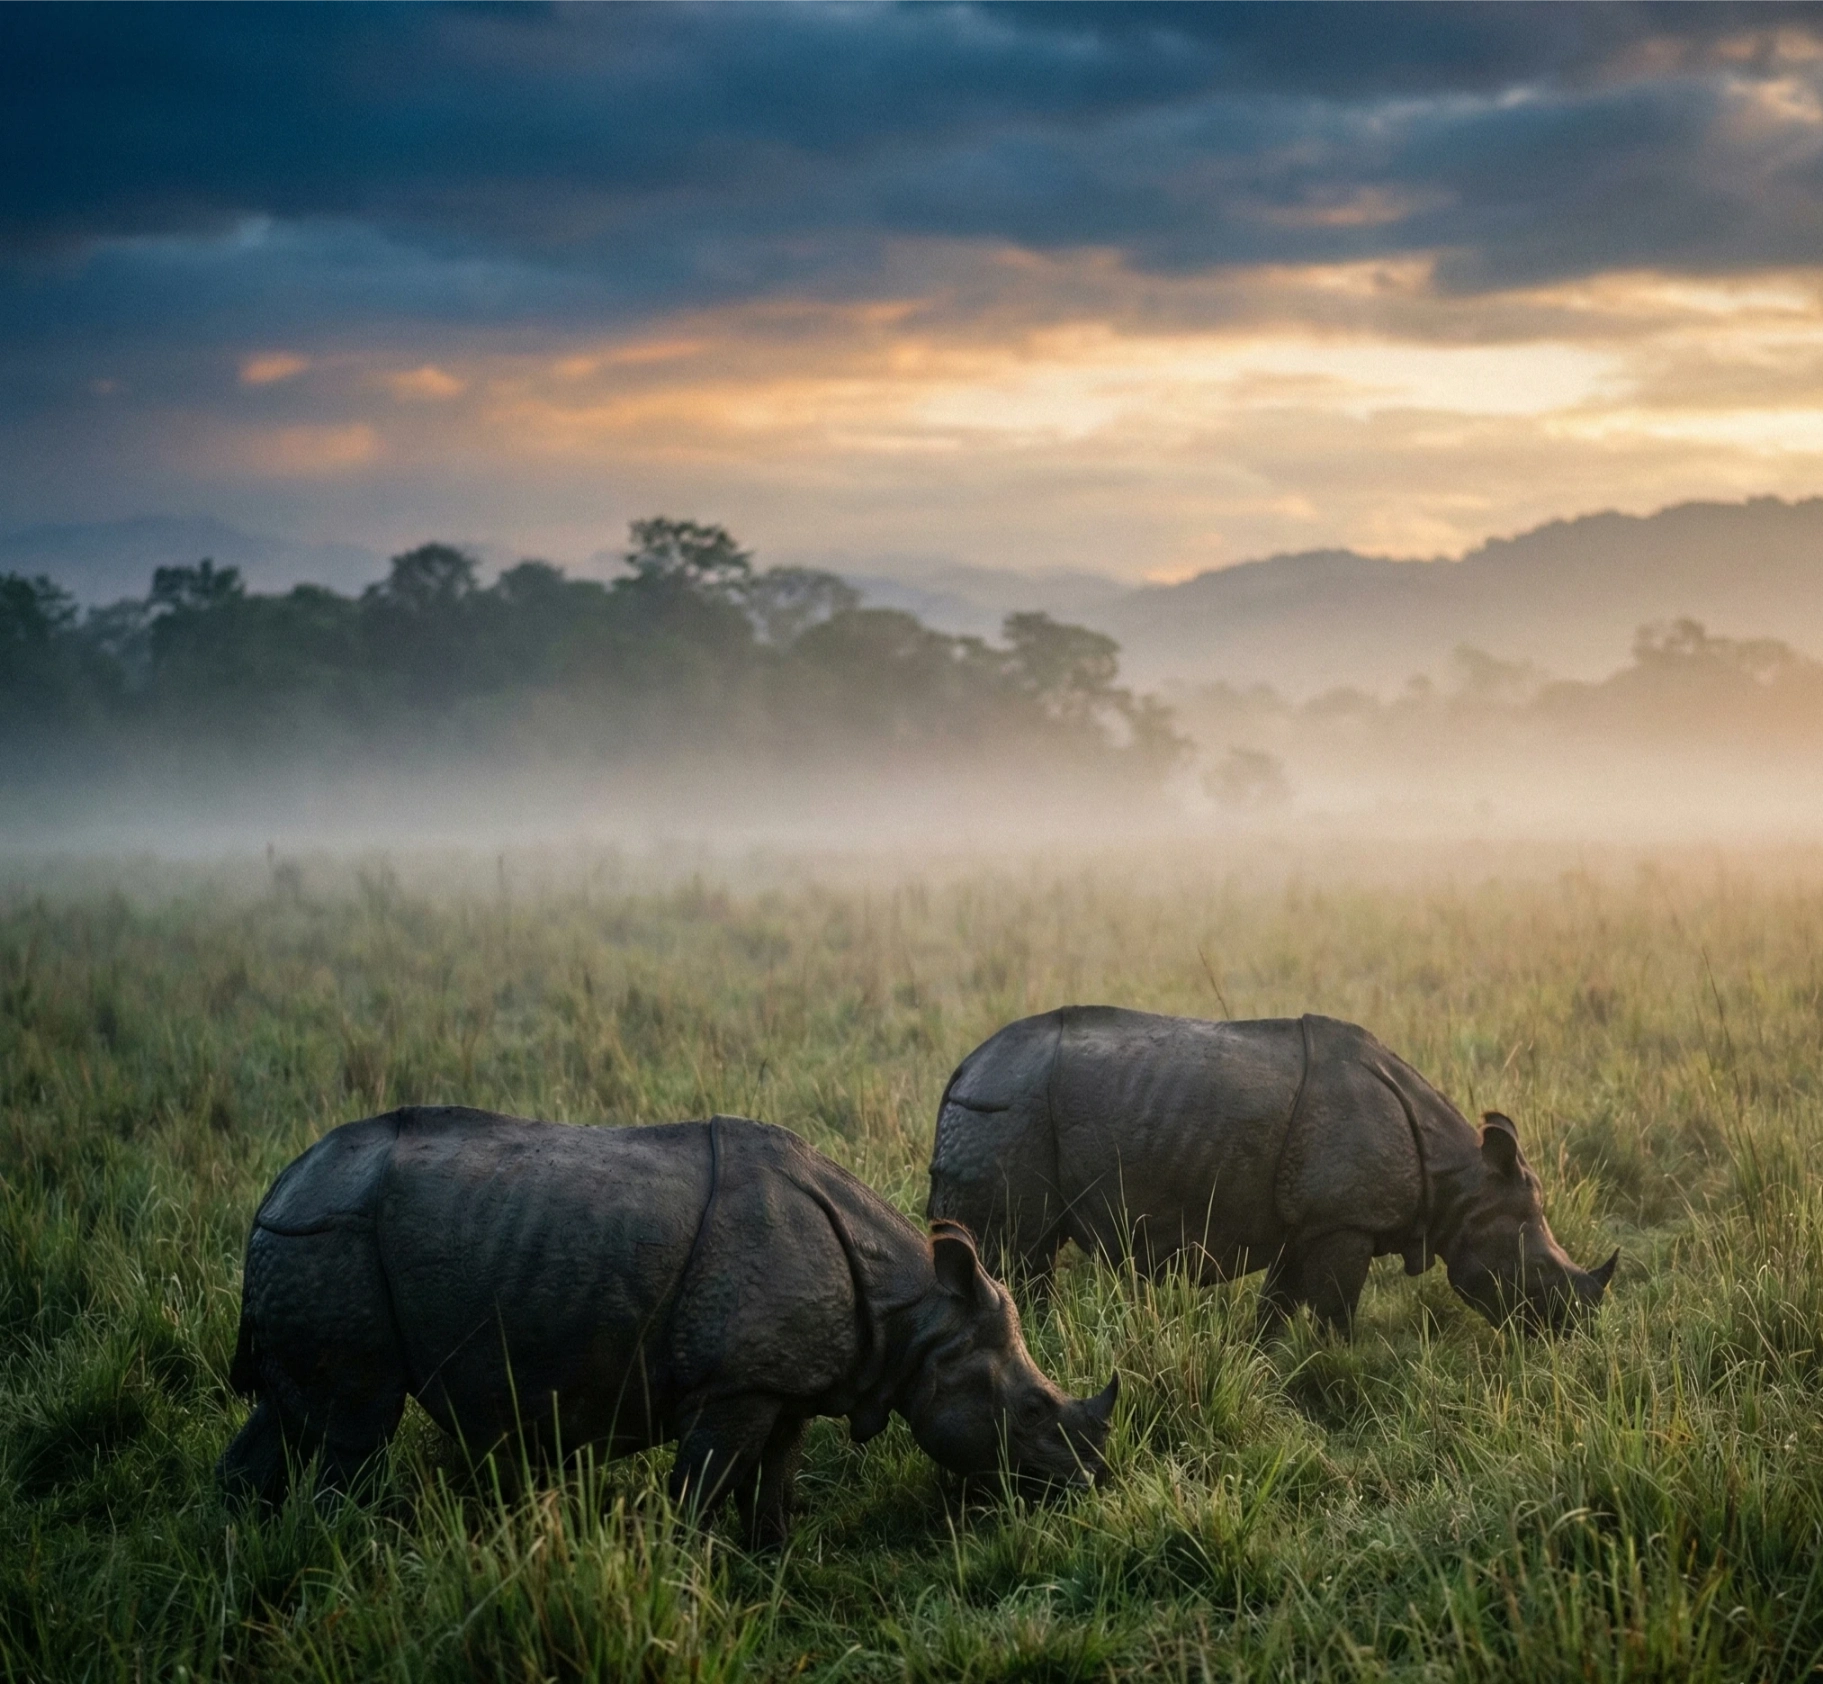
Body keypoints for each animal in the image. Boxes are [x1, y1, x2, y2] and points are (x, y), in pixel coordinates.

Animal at [217, 1107, 1116, 1545]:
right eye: (1031, 1410)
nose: (1091, 1485)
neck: (916, 1317)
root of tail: (277, 1188)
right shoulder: (735, 1385)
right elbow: (704, 1484)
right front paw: (682, 1569)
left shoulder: (783, 1380)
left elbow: (776, 1474)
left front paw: (773, 1557)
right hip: (333, 1240)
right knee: (351, 1428)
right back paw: (343, 1546)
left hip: (316, 1239)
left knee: (290, 1417)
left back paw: (240, 1541)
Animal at [927, 1009, 1616, 1336]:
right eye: (1536, 1273)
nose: (1574, 1331)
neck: (1460, 1180)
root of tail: (964, 1067)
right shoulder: (1344, 1222)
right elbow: (1336, 1312)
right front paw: (1340, 1366)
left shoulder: (1307, 1223)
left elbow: (1278, 1309)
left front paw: (1264, 1365)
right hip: (1009, 1111)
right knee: (1013, 1254)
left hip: (1006, 1107)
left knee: (1023, 1259)